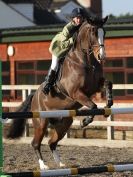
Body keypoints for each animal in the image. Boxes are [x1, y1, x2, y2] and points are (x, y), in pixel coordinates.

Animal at [6, 17, 113, 170]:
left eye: (104, 32)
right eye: (93, 33)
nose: (101, 56)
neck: (86, 61)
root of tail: (34, 96)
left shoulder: (95, 86)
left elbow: (108, 84)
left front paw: (109, 103)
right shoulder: (77, 93)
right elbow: (93, 106)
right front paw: (84, 121)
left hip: (64, 123)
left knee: (52, 142)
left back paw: (61, 164)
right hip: (41, 122)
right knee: (36, 143)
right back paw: (44, 166)